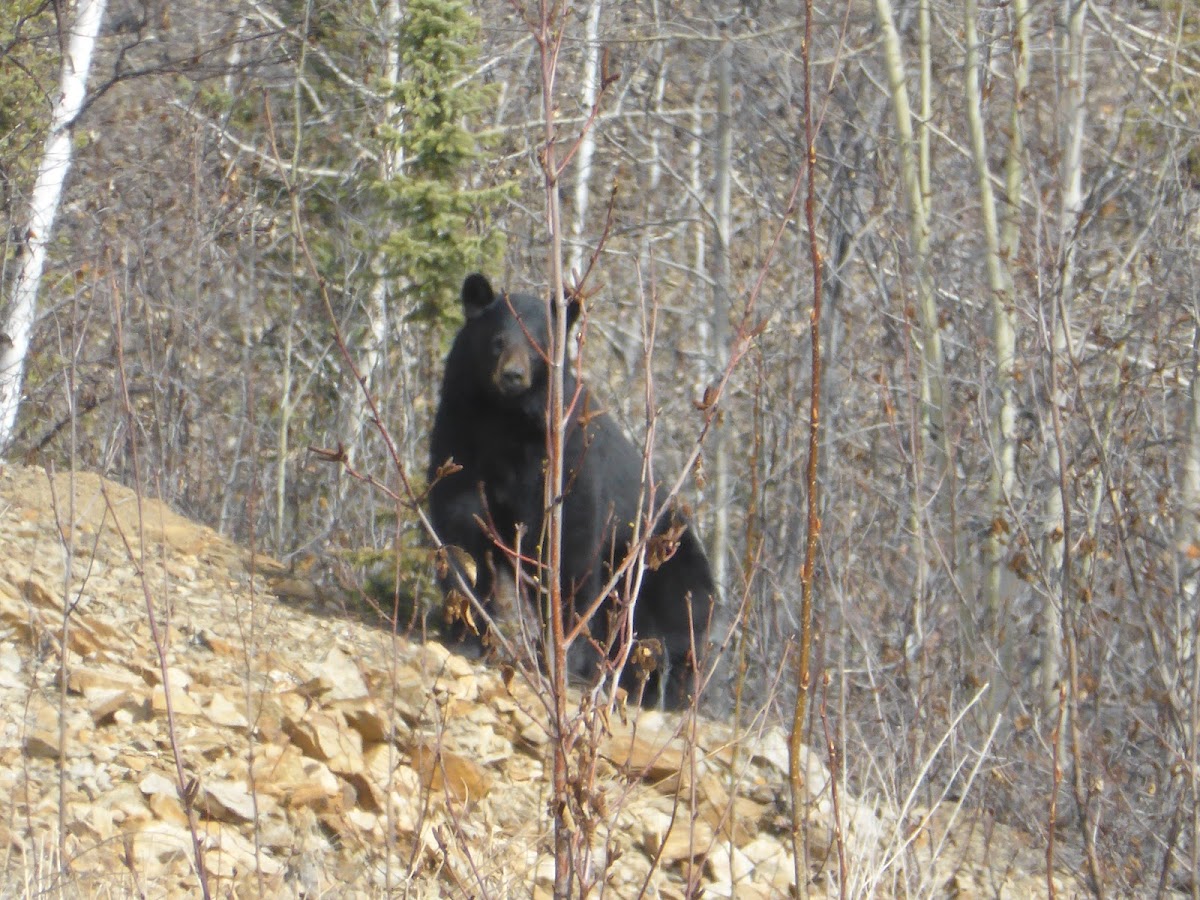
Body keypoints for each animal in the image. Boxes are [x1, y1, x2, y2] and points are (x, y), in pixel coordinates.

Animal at [429, 271, 715, 710]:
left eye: (539, 345)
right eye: (498, 340)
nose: (512, 376)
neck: (504, 420)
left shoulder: (566, 458)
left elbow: (570, 546)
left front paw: (565, 655)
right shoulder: (460, 434)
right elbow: (459, 523)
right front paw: (465, 631)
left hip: (663, 560)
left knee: (674, 625)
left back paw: (661, 689)